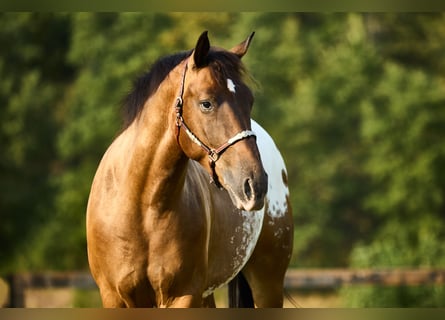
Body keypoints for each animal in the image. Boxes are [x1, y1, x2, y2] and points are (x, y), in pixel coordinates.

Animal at [85, 30, 294, 308]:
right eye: (206, 103)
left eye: (249, 100)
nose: (255, 185)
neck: (141, 207)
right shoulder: (114, 297)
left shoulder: (183, 294)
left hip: (266, 282)